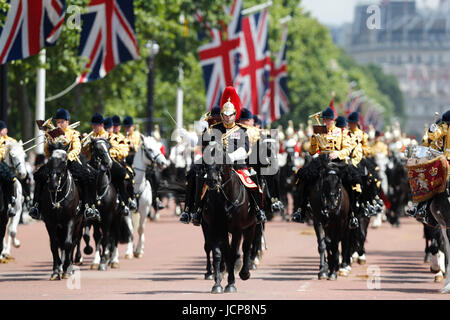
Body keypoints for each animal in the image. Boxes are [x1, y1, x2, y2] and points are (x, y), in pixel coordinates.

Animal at [37, 144, 83, 278]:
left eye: (64, 160)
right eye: (49, 161)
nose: (53, 185)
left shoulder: (70, 221)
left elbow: (68, 243)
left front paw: (67, 269)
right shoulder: (50, 222)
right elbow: (54, 244)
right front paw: (56, 271)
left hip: (78, 224)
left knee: (73, 242)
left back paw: (69, 266)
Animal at [204, 164, 256, 294]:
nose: (212, 180)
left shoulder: (237, 230)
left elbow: (232, 254)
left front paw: (231, 283)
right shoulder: (214, 228)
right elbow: (217, 254)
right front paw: (217, 284)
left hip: (251, 226)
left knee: (246, 247)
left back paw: (244, 272)